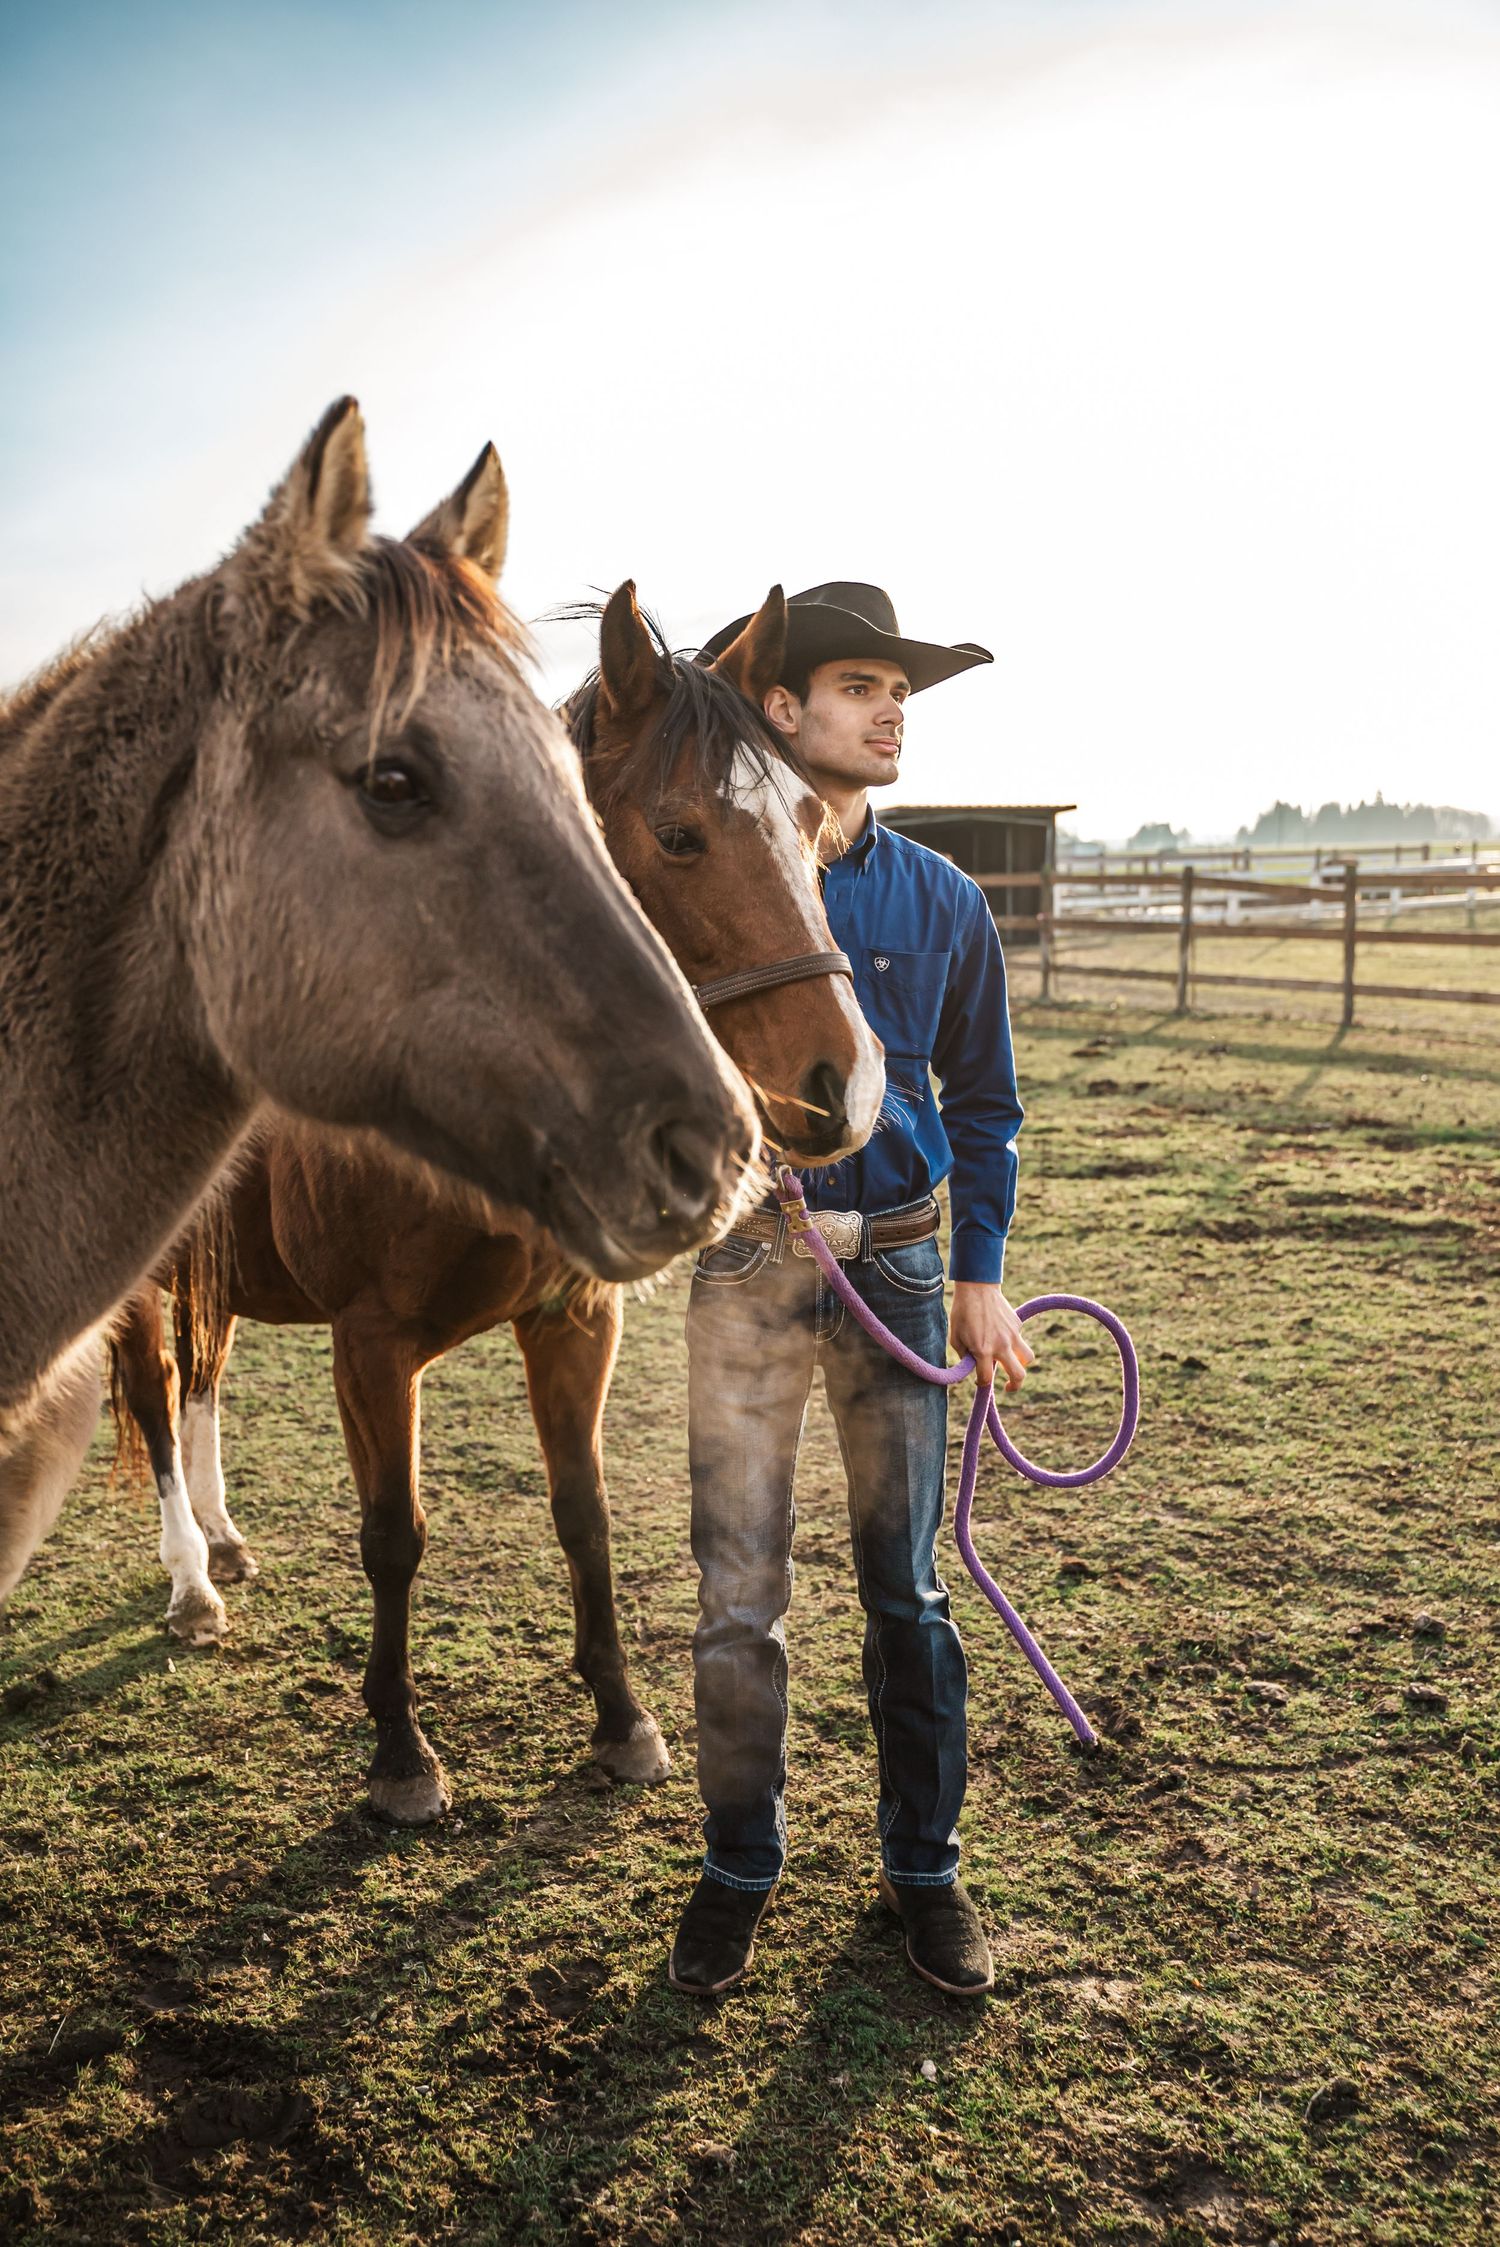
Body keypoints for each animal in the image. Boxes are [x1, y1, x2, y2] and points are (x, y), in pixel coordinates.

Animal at [109, 581, 885, 1823]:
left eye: (815, 827)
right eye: (678, 834)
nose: (845, 1089)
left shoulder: (573, 1318)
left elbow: (585, 1514)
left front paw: (622, 1719)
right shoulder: (372, 1346)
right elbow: (394, 1536)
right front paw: (400, 1753)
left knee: (202, 1381)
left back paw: (222, 1545)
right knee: (154, 1388)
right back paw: (191, 1584)